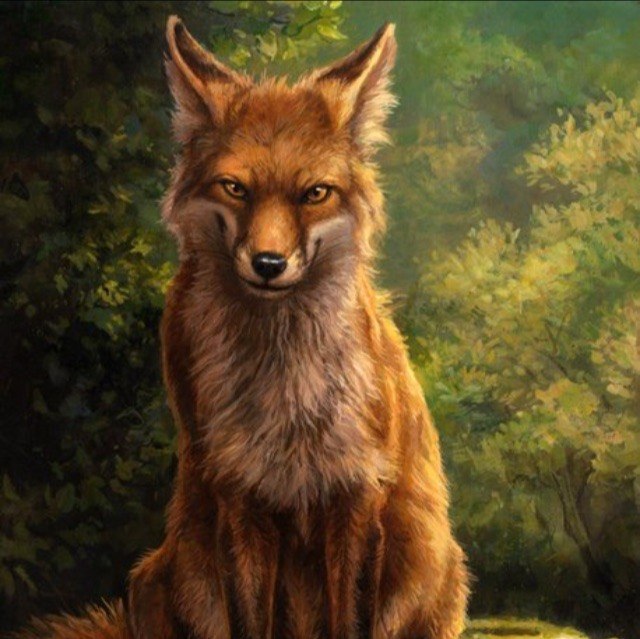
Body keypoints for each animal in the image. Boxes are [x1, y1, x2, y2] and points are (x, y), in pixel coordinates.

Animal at [14, 15, 469, 639]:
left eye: (314, 193)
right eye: (235, 188)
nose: (269, 263)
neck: (286, 396)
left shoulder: (355, 496)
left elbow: (350, 619)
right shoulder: (239, 496)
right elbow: (250, 619)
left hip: (434, 568)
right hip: (159, 573)